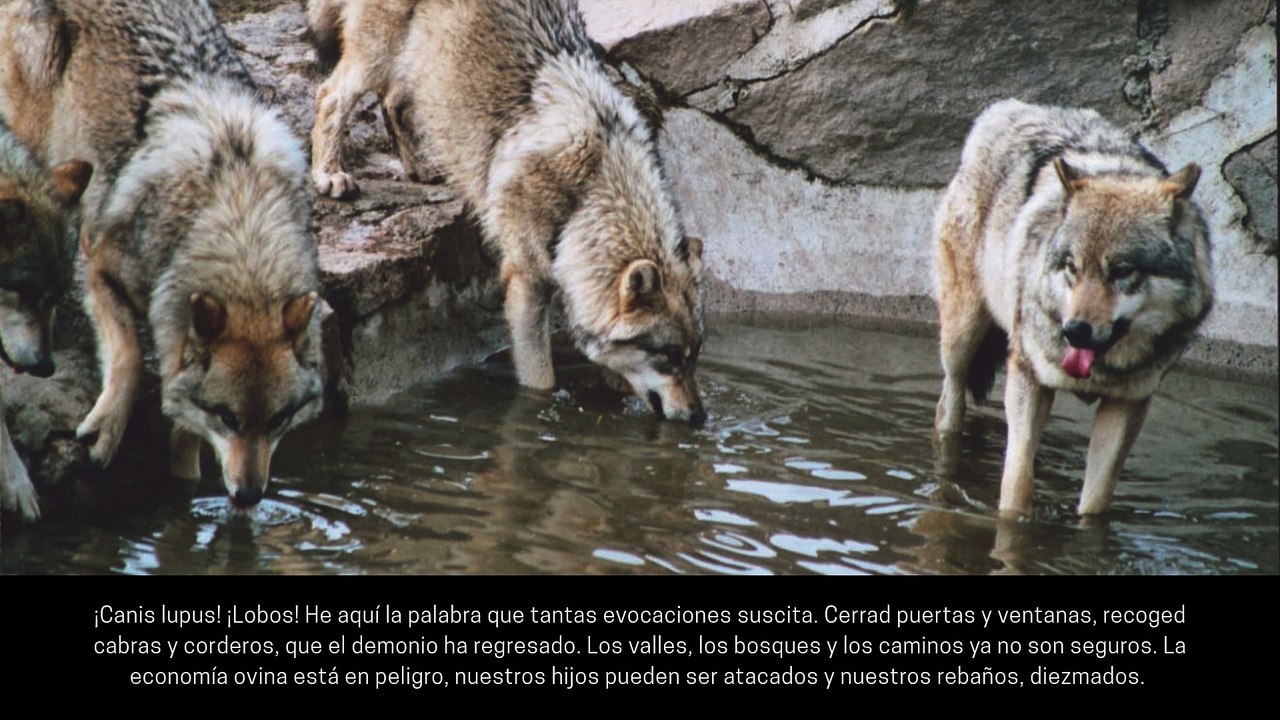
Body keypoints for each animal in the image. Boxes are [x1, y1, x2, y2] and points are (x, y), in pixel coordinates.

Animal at [0, 0, 324, 508]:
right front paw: (106, 431)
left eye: (276, 421)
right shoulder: (101, 271)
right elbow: (131, 357)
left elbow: (184, 435)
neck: (238, 222)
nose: (249, 498)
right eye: (229, 417)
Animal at [311, 0, 707, 423]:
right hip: (376, 57)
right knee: (331, 95)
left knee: (394, 101)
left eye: (695, 356)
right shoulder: (526, 282)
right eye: (669, 358)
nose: (700, 417)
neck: (589, 193)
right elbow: (541, 380)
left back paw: (421, 169)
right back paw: (329, 173)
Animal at [934, 99, 1213, 516]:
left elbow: (1096, 500)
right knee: (949, 403)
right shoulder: (1028, 379)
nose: (1074, 331)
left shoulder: (1127, 403)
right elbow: (1017, 483)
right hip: (961, 338)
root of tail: (1005, 108)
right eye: (1072, 267)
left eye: (1122, 271)